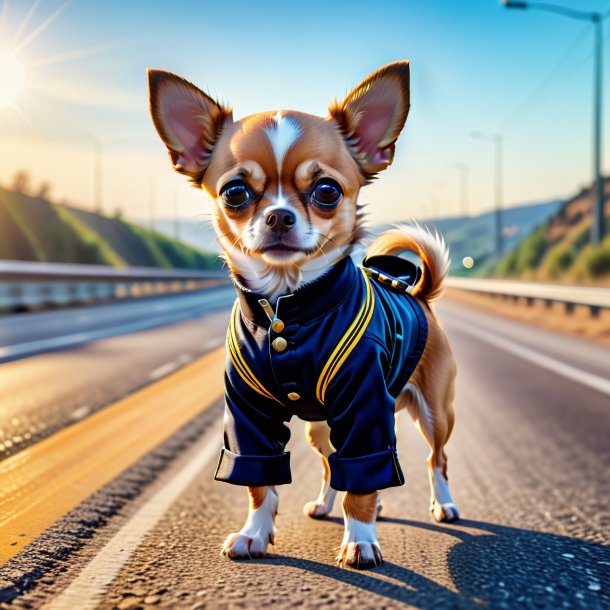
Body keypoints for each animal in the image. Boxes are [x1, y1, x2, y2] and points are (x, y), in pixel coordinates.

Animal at [148, 59, 456, 568]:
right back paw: (329, 504)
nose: (278, 215)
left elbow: (366, 477)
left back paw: (442, 504)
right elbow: (259, 481)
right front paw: (254, 533)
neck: (286, 310)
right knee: (334, 463)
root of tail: (420, 294)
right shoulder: (248, 414)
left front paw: (361, 540)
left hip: (434, 414)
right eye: (234, 193)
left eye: (327, 191)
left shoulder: (366, 407)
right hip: (321, 427)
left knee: (435, 460)